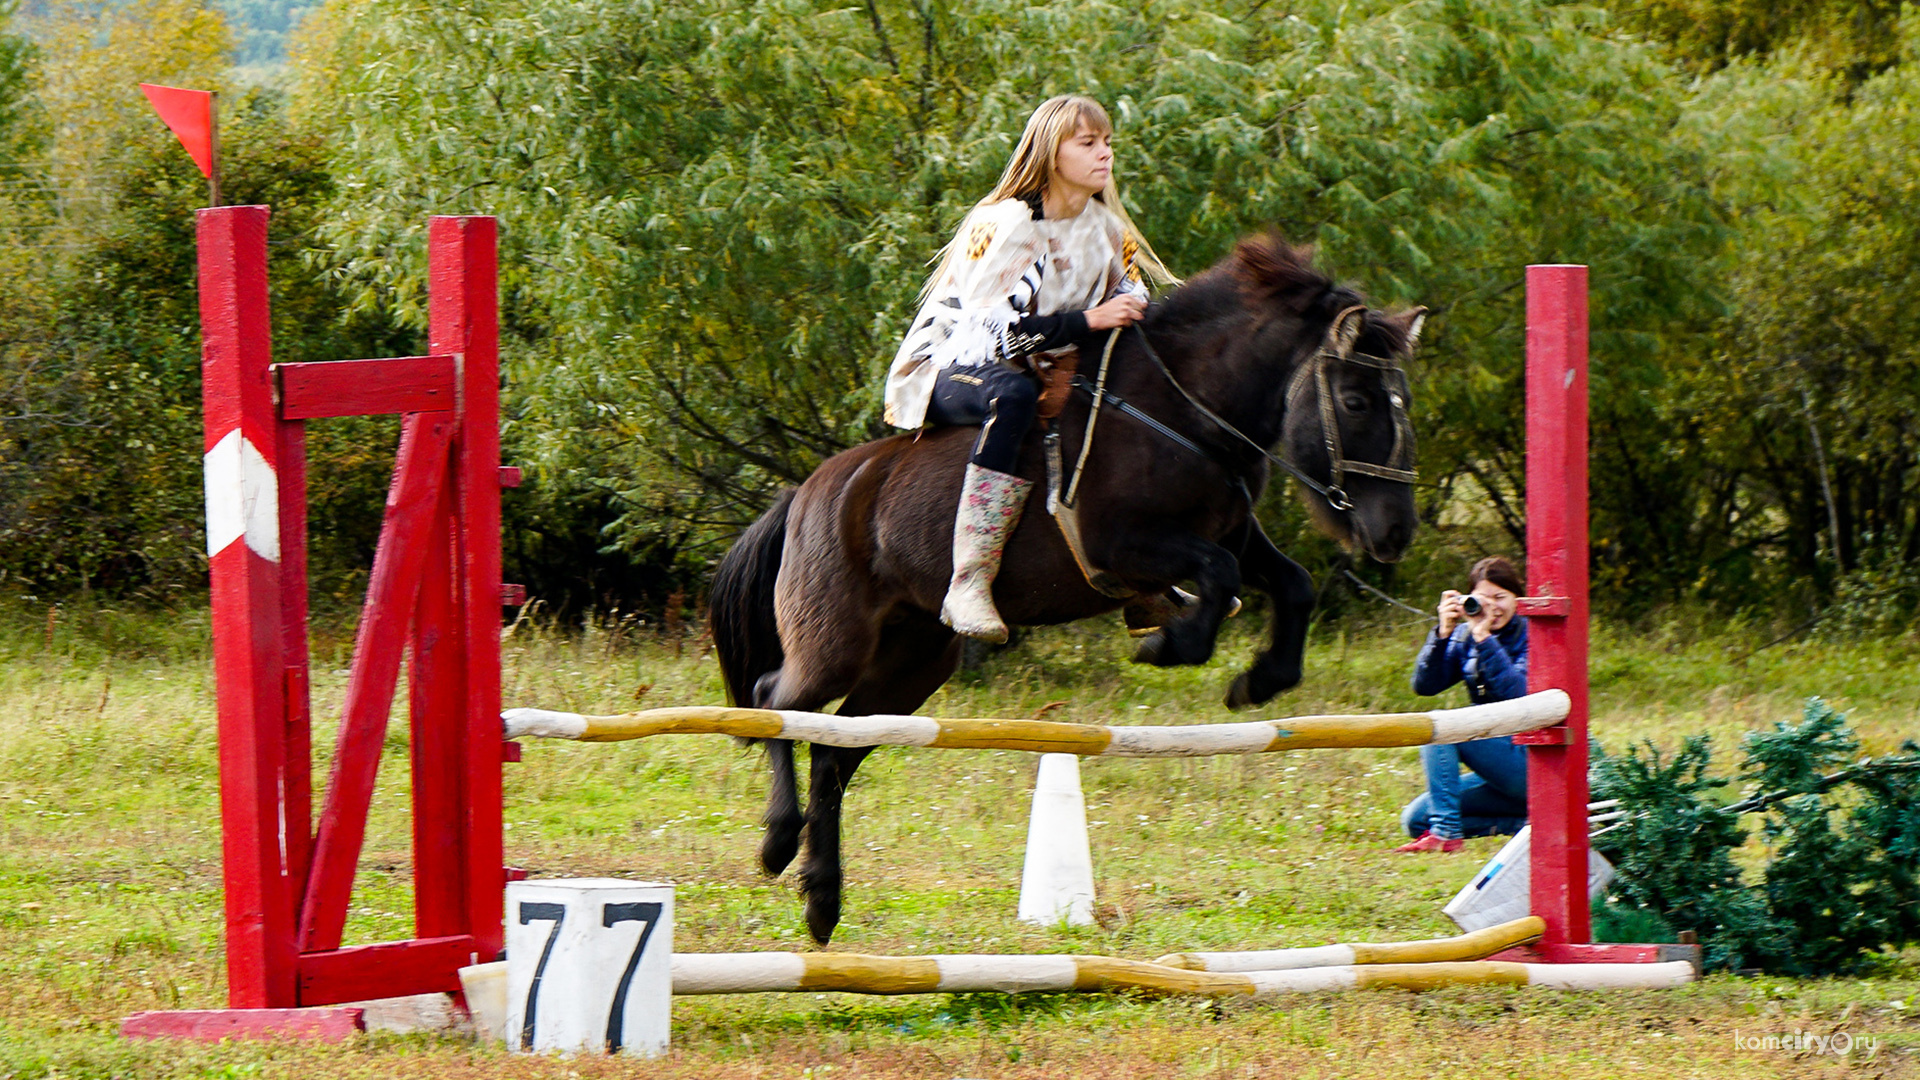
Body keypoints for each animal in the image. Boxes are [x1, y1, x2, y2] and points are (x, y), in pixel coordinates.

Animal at [710, 231, 1428, 937]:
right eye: (1357, 401)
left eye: (1405, 403)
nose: (1395, 532)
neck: (1184, 412)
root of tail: (804, 495)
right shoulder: (1125, 544)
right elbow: (1219, 583)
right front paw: (1167, 644)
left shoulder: (1232, 533)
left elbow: (1293, 584)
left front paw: (1258, 680)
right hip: (836, 644)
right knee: (774, 700)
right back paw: (778, 842)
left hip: (912, 663)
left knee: (833, 752)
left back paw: (822, 900)